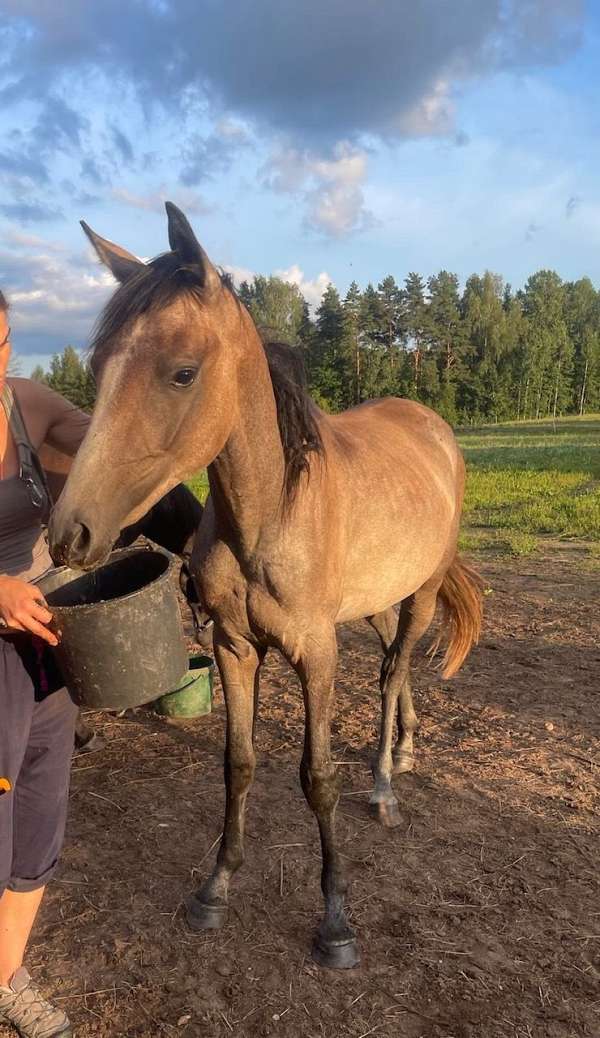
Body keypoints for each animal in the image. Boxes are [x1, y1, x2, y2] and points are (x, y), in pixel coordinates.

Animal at [51, 204, 481, 971]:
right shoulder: (234, 647)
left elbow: (318, 778)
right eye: (98, 368)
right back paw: (403, 750)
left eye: (182, 372)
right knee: (392, 670)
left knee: (395, 670)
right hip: (378, 602)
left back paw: (384, 781)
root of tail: (433, 427)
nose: (71, 532)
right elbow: (240, 763)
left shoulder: (316, 653)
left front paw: (336, 920)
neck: (271, 511)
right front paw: (216, 887)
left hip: (422, 593)